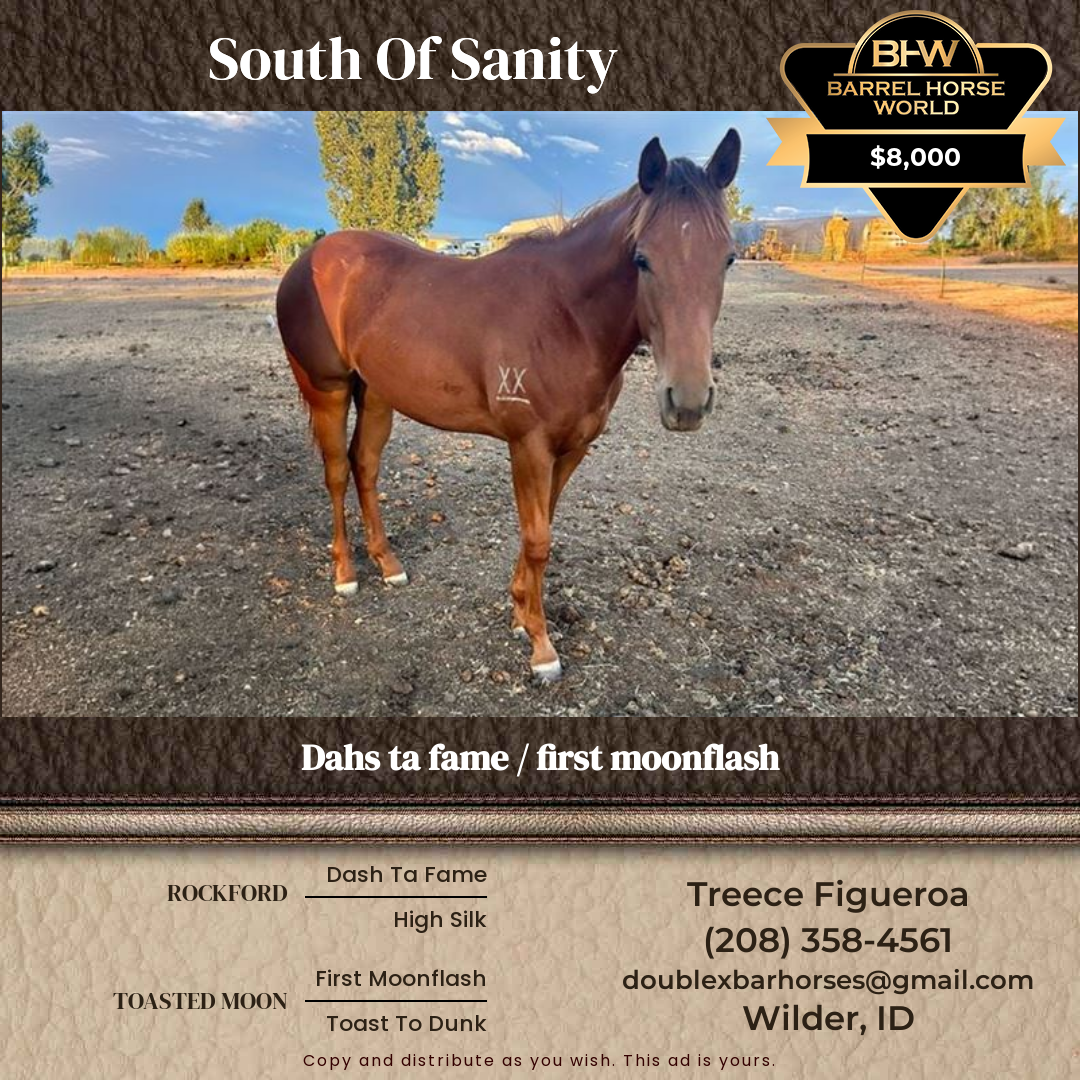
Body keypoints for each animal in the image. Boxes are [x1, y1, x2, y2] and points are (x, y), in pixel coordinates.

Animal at [276, 130, 741, 682]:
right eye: (641, 259)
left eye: (727, 258)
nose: (687, 401)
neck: (566, 319)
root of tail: (311, 258)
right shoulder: (529, 446)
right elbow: (538, 539)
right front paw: (541, 646)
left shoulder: (571, 448)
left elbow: (541, 528)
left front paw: (520, 612)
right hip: (328, 389)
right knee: (335, 473)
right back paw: (346, 572)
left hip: (377, 394)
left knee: (364, 465)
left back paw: (388, 564)